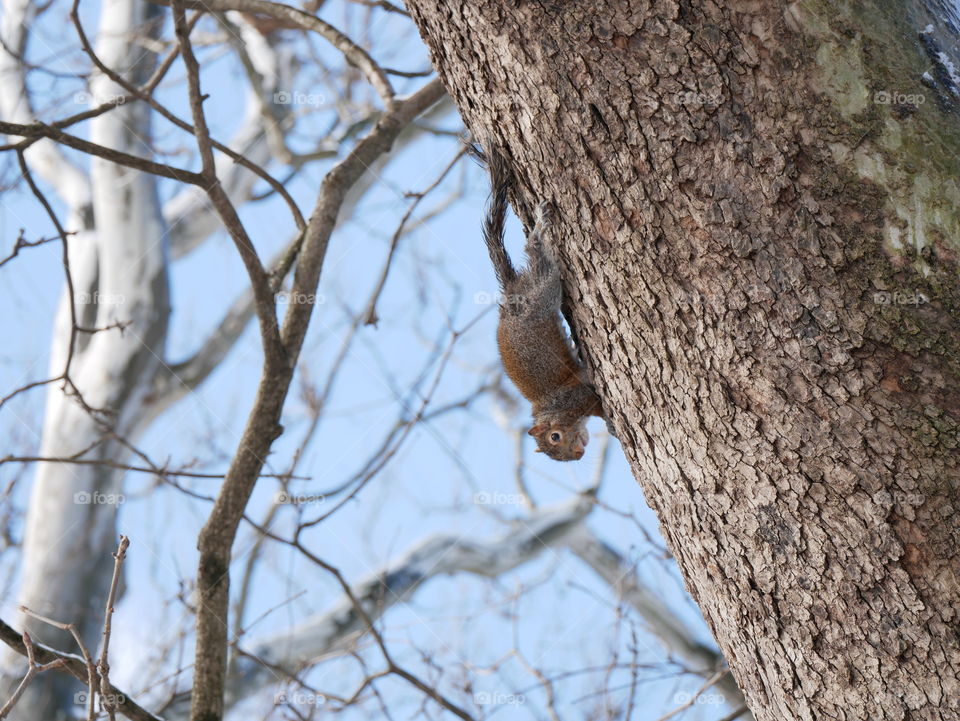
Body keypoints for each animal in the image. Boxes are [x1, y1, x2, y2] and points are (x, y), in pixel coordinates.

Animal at [470, 140, 604, 461]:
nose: (577, 454)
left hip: (542, 293)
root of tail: (510, 293)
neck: (551, 411)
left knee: (537, 255)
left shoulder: (576, 397)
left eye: (555, 437)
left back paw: (540, 225)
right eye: (554, 446)